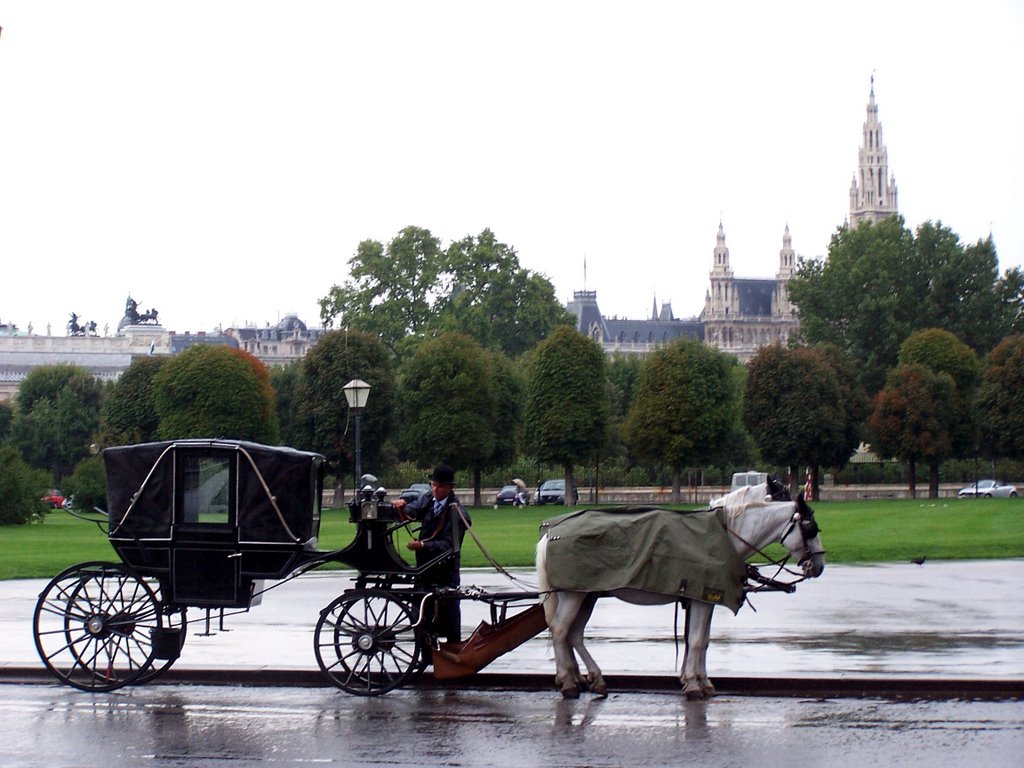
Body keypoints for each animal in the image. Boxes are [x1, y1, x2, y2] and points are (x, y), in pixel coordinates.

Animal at [536, 483, 823, 700]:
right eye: (810, 528)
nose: (819, 566)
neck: (725, 534)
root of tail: (550, 534)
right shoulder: (703, 596)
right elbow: (695, 640)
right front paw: (695, 684)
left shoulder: (703, 598)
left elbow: (701, 640)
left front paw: (700, 681)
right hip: (574, 594)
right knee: (560, 630)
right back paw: (568, 682)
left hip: (586, 593)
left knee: (573, 633)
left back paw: (591, 678)